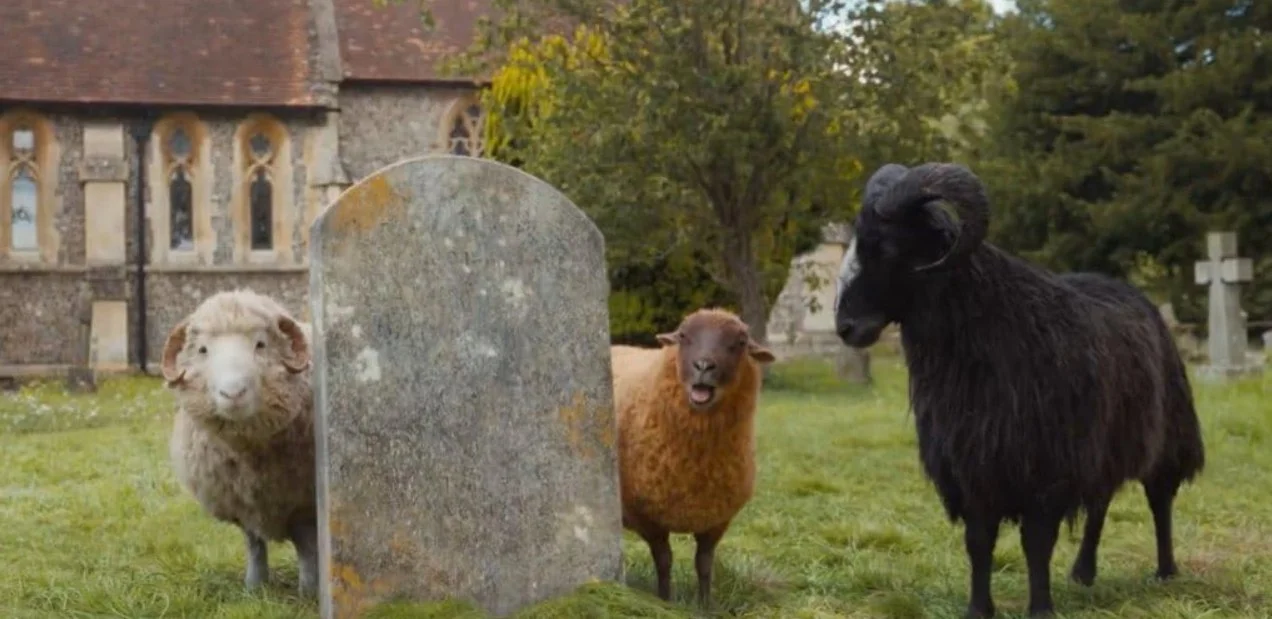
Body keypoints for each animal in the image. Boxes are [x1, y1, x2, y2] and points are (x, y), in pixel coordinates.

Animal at [161, 288, 319, 595]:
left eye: (261, 344)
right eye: (203, 350)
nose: (232, 393)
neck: (249, 453)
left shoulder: (303, 502)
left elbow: (306, 546)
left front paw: (309, 590)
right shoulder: (239, 499)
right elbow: (253, 543)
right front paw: (255, 587)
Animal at [612, 308, 775, 608]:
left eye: (740, 342)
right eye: (684, 336)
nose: (703, 366)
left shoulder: (715, 519)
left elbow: (704, 564)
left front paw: (705, 605)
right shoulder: (648, 517)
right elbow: (664, 561)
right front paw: (665, 600)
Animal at [833, 162, 1206, 618]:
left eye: (885, 246)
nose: (845, 327)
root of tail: (1130, 290)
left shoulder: (1045, 468)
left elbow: (1037, 544)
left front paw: (1040, 608)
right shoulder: (972, 467)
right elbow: (979, 543)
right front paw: (979, 609)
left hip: (1167, 434)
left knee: (1159, 500)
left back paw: (1166, 571)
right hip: (1102, 445)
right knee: (1100, 504)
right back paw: (1084, 572)